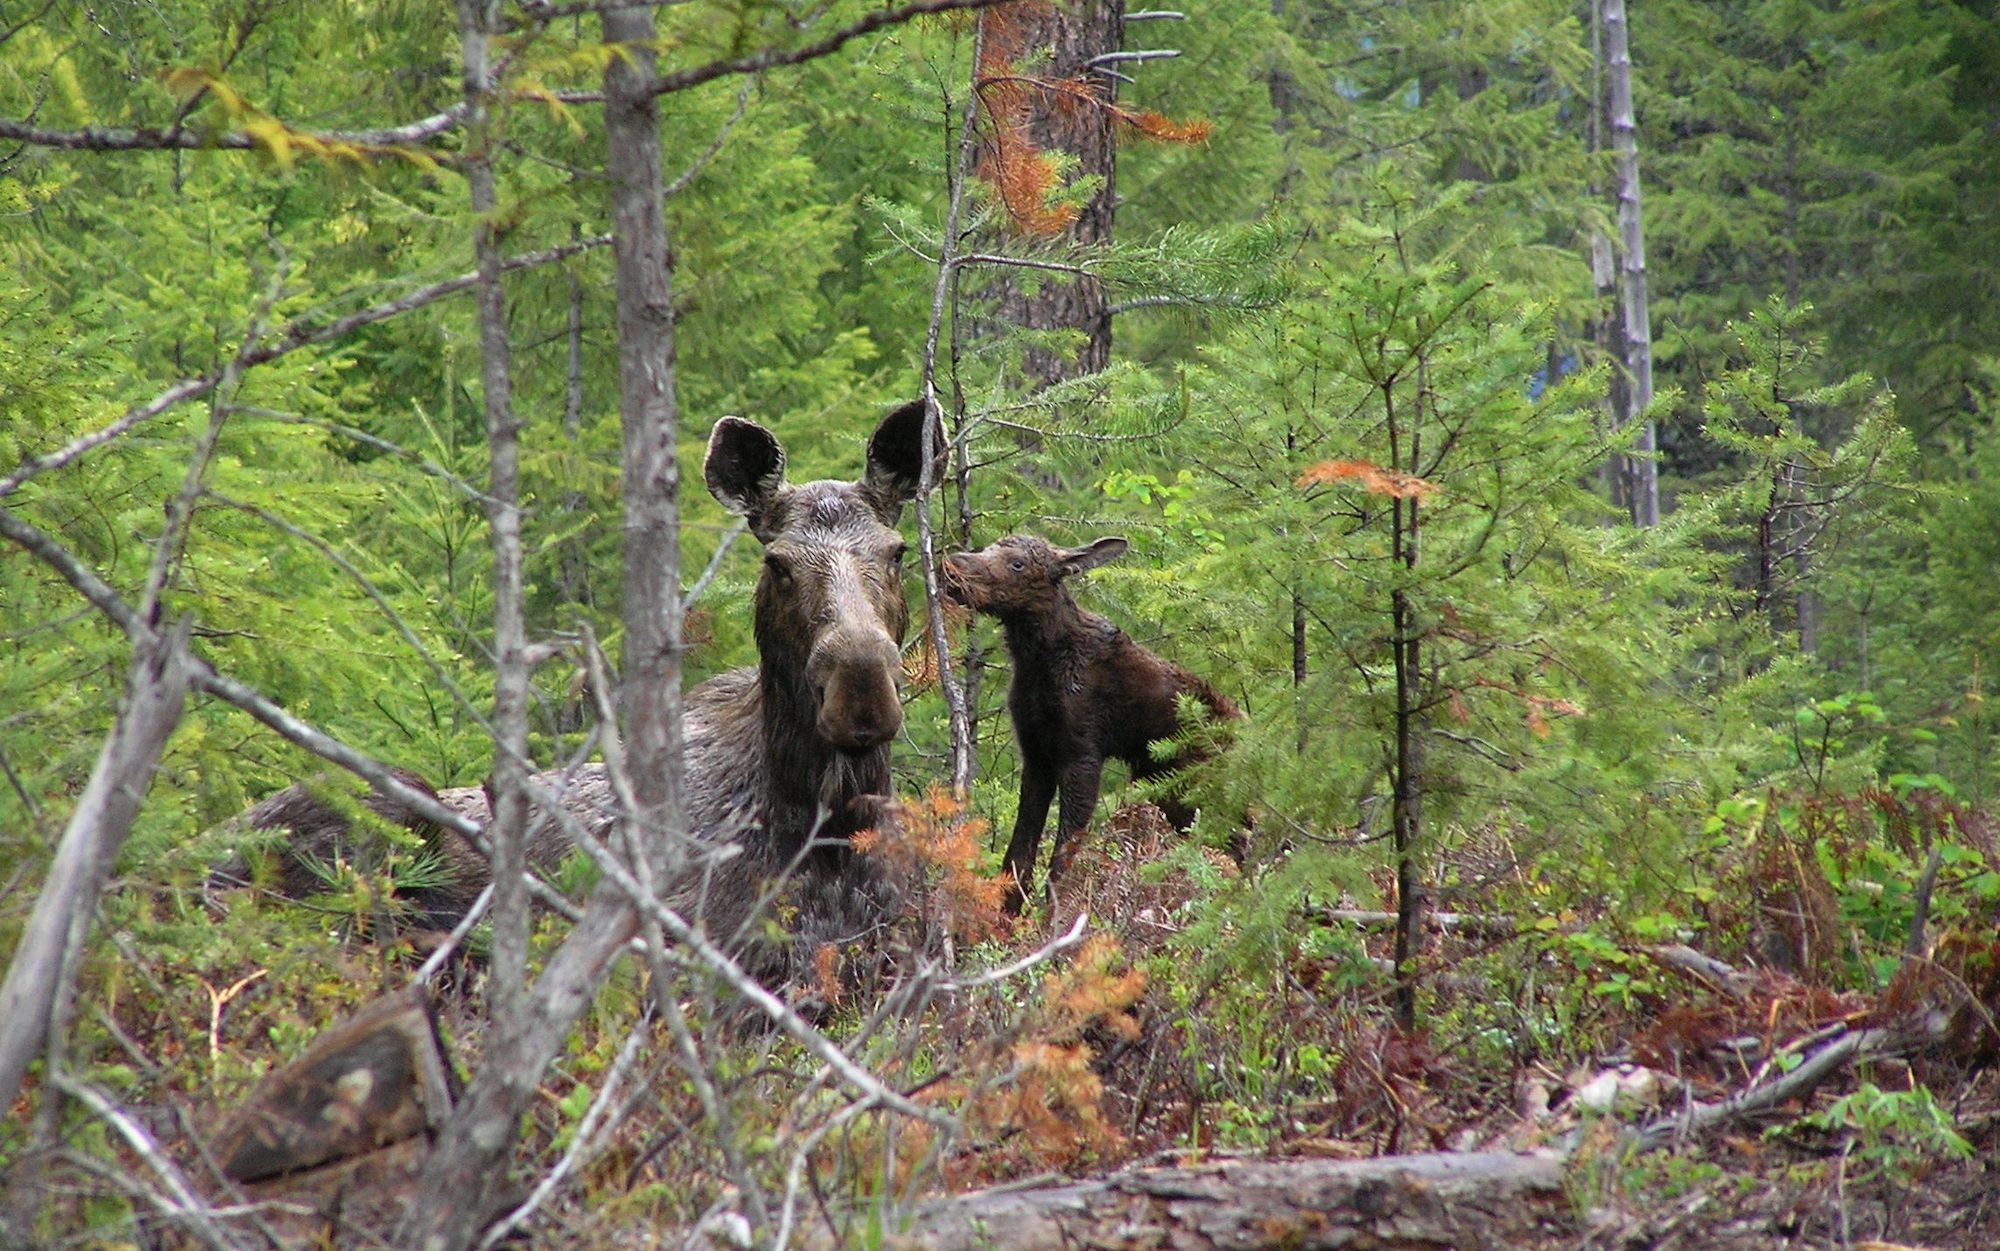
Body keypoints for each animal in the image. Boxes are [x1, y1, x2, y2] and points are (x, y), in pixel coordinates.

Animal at [936, 527, 1232, 907]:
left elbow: (1062, 858)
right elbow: (1018, 857)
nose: (951, 567)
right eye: (988, 548)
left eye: (1017, 563)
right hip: (1164, 786)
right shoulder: (1036, 754)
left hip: (1193, 785)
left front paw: (1055, 916)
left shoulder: (1082, 755)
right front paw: (1008, 913)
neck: (1036, 658)